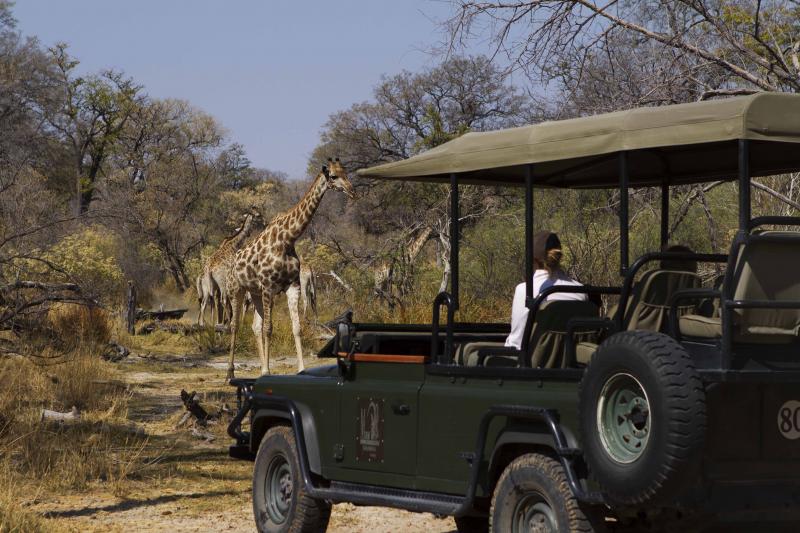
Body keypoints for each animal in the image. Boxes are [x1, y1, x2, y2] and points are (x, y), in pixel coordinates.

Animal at [226, 158, 355, 378]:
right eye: (333, 176)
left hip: (255, 292)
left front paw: (300, 369)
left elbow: (296, 327)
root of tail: (233, 262)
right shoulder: (269, 286)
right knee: (235, 325)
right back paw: (230, 373)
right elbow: (269, 328)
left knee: (255, 326)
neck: (287, 238)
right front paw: (267, 371)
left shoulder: (291, 286)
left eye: (346, 172)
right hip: (238, 289)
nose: (352, 191)